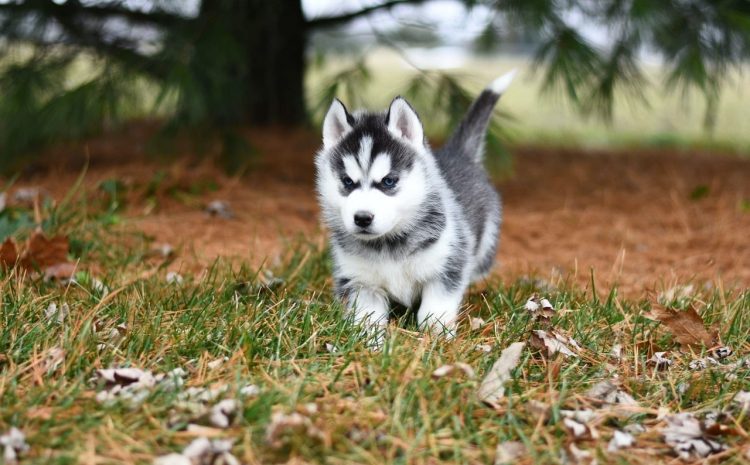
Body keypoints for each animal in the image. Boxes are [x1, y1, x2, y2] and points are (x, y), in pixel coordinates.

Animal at [316, 70, 516, 338]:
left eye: (389, 181)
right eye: (348, 182)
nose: (362, 218)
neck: (388, 245)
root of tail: (458, 154)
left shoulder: (447, 267)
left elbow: (435, 308)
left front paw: (436, 336)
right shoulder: (361, 282)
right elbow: (368, 318)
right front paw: (370, 342)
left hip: (485, 246)